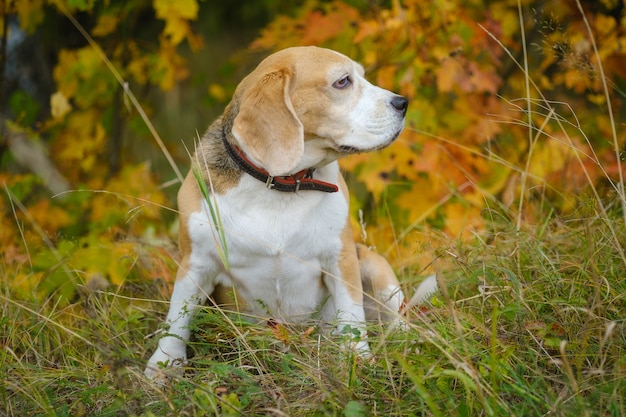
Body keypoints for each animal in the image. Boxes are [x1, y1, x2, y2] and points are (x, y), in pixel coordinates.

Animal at [146, 47, 410, 378]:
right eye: (343, 81)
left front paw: (357, 359)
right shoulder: (195, 263)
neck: (280, 185)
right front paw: (164, 364)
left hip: (375, 266)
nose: (403, 103)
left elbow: (351, 315)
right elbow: (177, 318)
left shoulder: (341, 259)